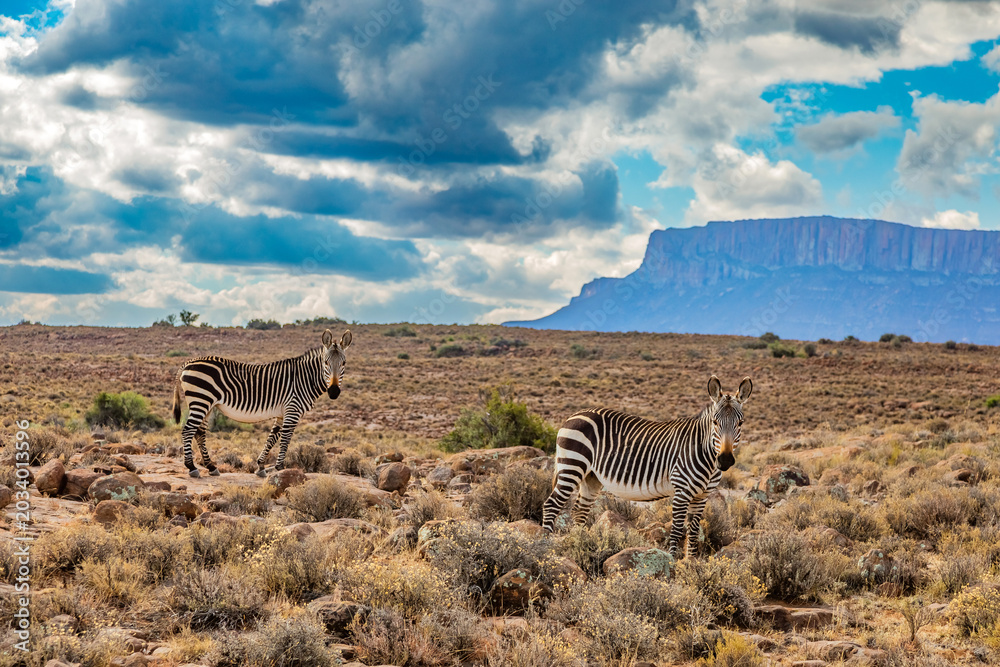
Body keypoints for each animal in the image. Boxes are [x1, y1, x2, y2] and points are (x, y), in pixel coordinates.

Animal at [171, 329, 352, 478]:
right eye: (326, 363)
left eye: (343, 363)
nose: (334, 392)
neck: (304, 379)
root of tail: (187, 363)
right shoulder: (292, 410)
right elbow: (285, 439)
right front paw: (279, 468)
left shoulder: (282, 413)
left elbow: (272, 438)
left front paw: (261, 467)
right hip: (201, 400)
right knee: (188, 430)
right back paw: (192, 467)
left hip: (207, 405)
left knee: (199, 433)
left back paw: (211, 467)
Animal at [541, 375, 752, 559]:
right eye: (715, 422)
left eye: (740, 423)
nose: (725, 460)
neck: (705, 455)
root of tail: (573, 415)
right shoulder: (682, 491)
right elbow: (677, 530)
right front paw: (672, 562)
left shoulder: (702, 496)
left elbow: (693, 532)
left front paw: (691, 563)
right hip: (572, 466)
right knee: (551, 505)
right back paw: (545, 548)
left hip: (590, 476)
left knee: (580, 510)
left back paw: (581, 544)